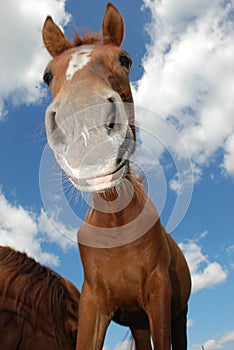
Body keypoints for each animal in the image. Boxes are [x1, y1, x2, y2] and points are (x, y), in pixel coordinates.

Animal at [42, 3, 192, 350]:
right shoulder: (94, 306)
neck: (115, 226)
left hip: (178, 317)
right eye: (47, 75)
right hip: (138, 323)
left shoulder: (159, 298)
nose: (87, 131)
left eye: (124, 60)